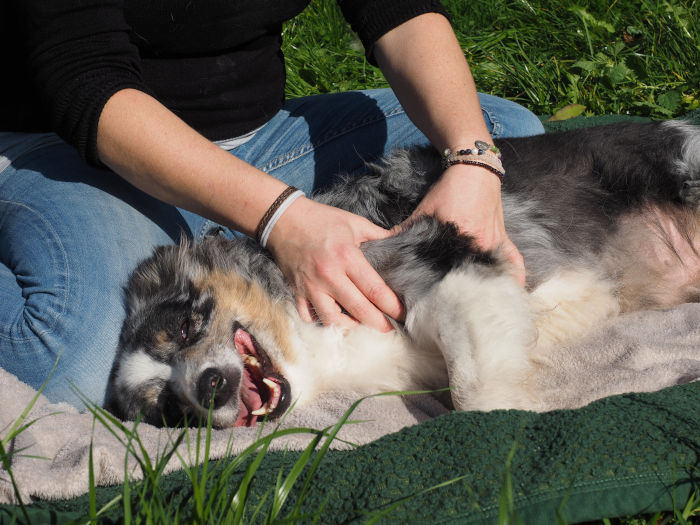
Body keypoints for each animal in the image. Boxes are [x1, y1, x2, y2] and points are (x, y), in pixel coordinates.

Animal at [105, 121, 700, 428]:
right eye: (167, 409)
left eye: (185, 327)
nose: (206, 387)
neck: (313, 342)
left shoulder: (443, 261)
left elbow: (478, 394)